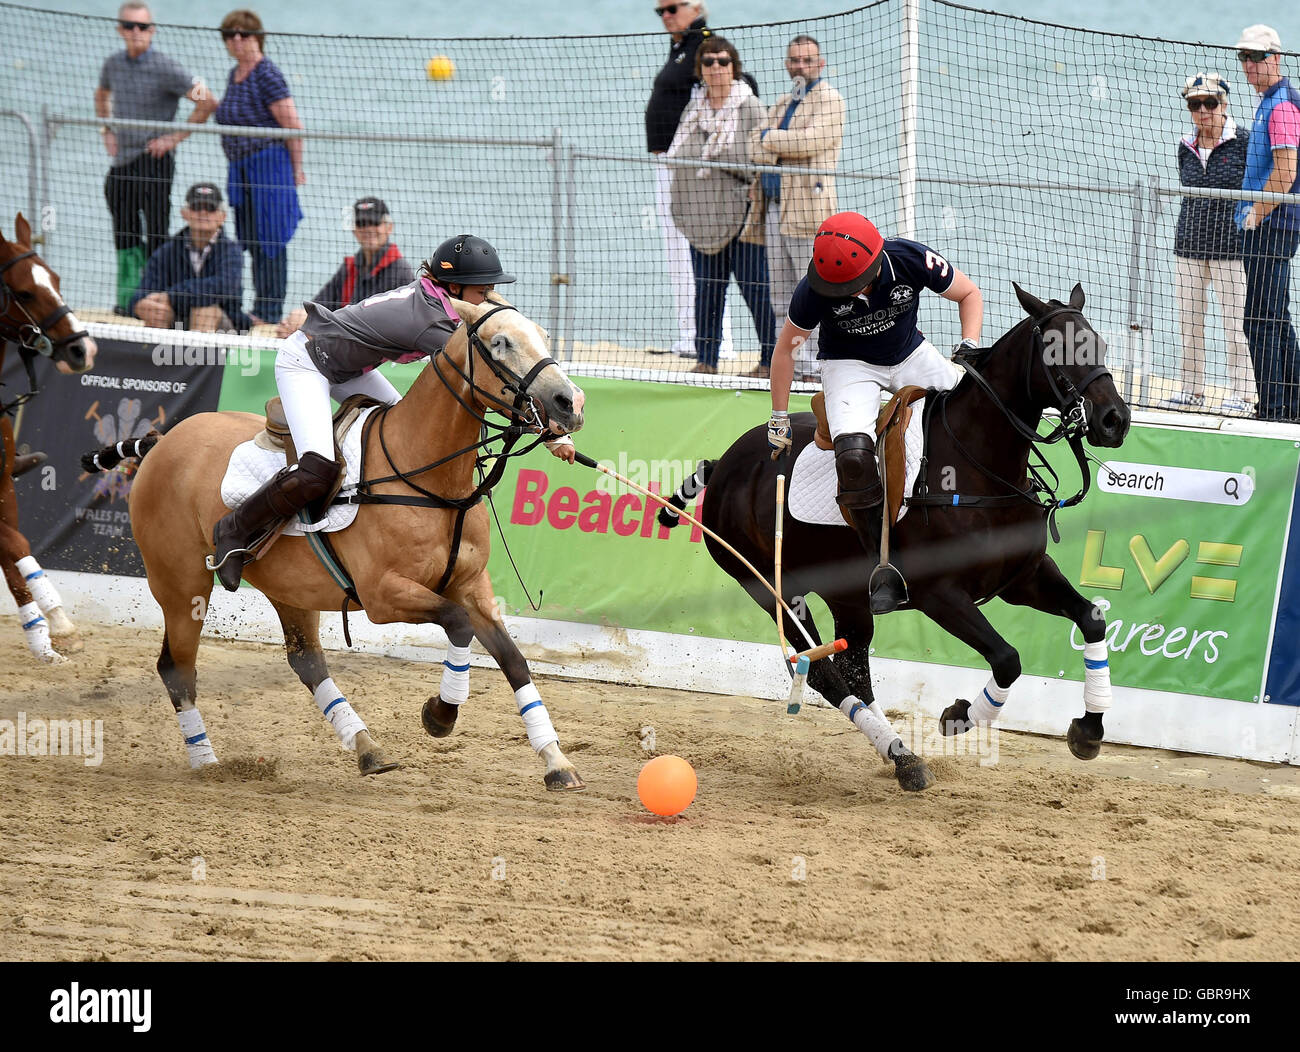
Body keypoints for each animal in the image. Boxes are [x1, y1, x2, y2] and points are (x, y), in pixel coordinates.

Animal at [124, 295, 587, 790]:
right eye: (500, 343)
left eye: (542, 335)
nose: (571, 403)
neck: (433, 481)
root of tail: (162, 441)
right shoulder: (383, 594)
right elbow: (458, 624)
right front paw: (439, 715)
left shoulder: (471, 585)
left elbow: (514, 660)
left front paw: (556, 761)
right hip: (180, 584)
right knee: (177, 668)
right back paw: (206, 760)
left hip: (289, 588)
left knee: (306, 661)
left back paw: (367, 749)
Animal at [676, 280, 1133, 780]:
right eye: (1054, 350)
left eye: (1100, 345)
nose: (1114, 420)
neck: (980, 466)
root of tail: (723, 464)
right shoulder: (940, 593)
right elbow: (1008, 659)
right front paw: (958, 716)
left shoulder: (1024, 576)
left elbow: (1091, 618)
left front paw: (1089, 729)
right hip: (771, 587)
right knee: (823, 673)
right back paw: (901, 754)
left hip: (847, 595)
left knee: (854, 670)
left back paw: (900, 755)